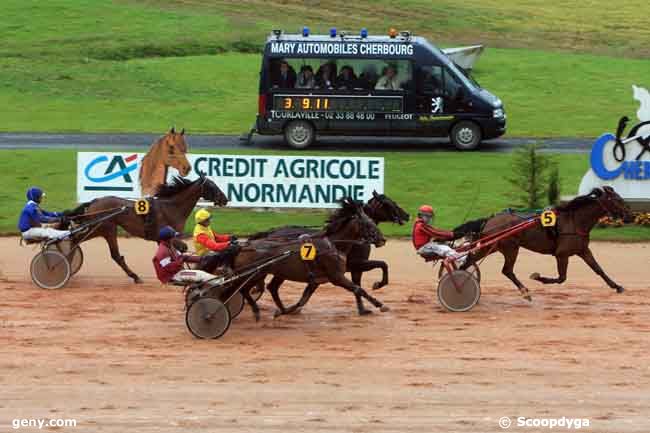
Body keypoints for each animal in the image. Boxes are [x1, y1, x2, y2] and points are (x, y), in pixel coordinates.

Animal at [67, 176, 228, 284]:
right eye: (212, 186)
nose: (225, 199)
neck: (171, 208)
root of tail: (94, 201)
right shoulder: (171, 235)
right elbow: (182, 249)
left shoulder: (163, 238)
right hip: (103, 228)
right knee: (79, 241)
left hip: (103, 229)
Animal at [230, 197, 388, 318]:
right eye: (369, 224)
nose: (383, 239)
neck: (334, 245)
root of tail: (245, 246)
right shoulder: (337, 276)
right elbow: (358, 289)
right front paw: (380, 305)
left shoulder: (317, 279)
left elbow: (304, 297)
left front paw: (289, 310)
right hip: (255, 273)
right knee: (244, 289)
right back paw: (256, 310)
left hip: (271, 273)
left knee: (268, 288)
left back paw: (280, 309)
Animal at [246, 190, 408, 288]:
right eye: (389, 203)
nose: (407, 215)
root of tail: (271, 232)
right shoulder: (356, 264)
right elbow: (382, 264)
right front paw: (378, 285)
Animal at [454, 186, 632, 300]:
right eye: (618, 200)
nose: (630, 215)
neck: (575, 221)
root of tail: (489, 220)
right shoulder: (562, 254)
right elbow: (561, 278)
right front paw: (538, 277)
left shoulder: (583, 250)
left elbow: (598, 269)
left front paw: (617, 286)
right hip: (511, 248)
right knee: (507, 270)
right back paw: (525, 291)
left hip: (492, 246)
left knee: (470, 260)